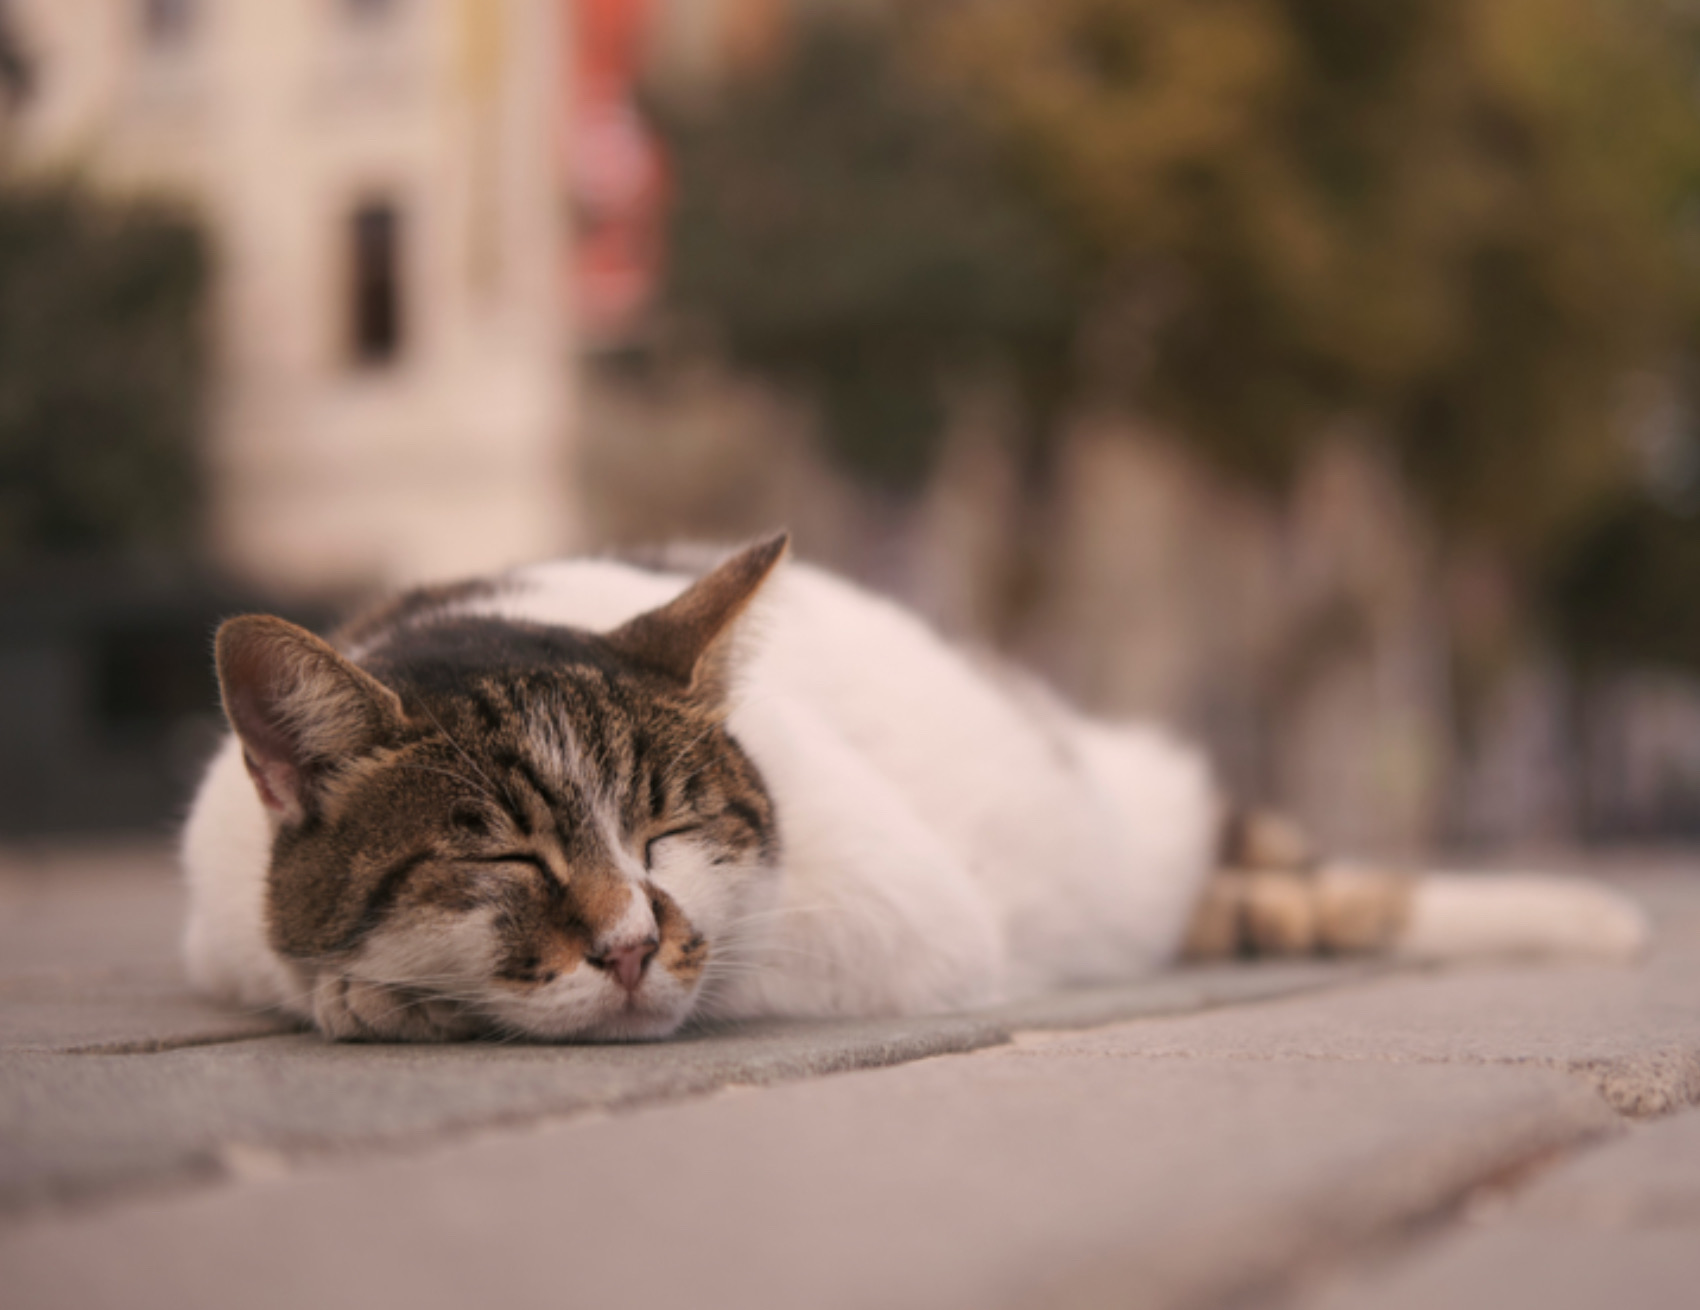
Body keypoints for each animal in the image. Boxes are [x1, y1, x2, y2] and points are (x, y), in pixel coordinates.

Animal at [182, 526, 1645, 1039]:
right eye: (501, 857)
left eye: (668, 828)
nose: (631, 940)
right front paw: (363, 987)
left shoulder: (905, 913)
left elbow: (736, 954)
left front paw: (386, 994)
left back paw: (1588, 915)